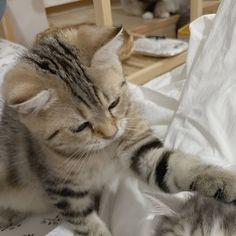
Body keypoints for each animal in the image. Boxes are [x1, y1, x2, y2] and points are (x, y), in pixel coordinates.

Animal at [1, 24, 236, 236]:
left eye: (113, 103)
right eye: (81, 126)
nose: (111, 133)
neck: (102, 152)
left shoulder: (140, 149)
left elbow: (182, 166)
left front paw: (227, 182)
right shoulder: (64, 191)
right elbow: (88, 224)